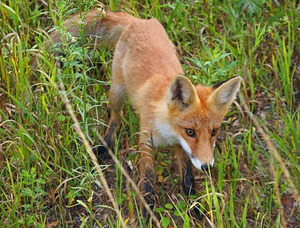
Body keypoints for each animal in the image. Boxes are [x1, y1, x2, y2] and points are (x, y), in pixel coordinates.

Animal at [49, 5, 241, 217]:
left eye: (214, 132)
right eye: (190, 131)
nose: (207, 167)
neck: (167, 131)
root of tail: (138, 20)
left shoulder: (181, 147)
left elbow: (187, 177)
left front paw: (194, 206)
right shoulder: (146, 142)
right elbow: (148, 181)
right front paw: (147, 213)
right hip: (117, 91)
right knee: (116, 117)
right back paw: (105, 145)